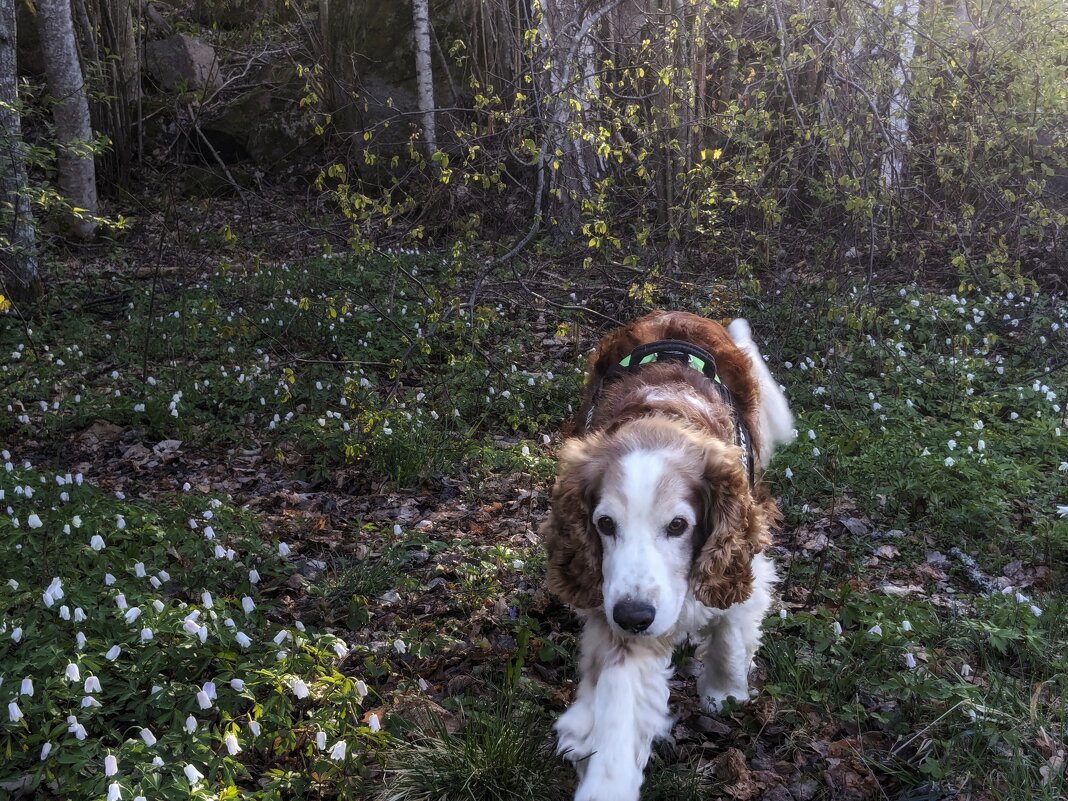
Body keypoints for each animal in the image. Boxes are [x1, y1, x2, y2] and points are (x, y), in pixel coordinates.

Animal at [542, 313, 794, 801]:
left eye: (678, 526)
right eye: (605, 524)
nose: (634, 617)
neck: (661, 419)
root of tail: (678, 317)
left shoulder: (740, 559)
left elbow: (731, 632)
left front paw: (724, 692)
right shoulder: (622, 610)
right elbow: (619, 706)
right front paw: (605, 781)